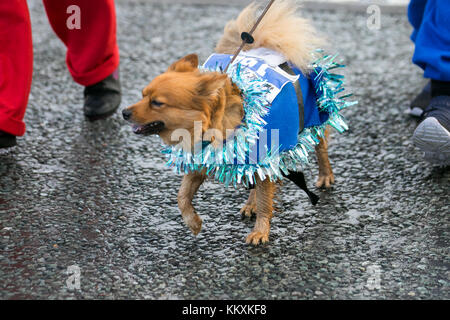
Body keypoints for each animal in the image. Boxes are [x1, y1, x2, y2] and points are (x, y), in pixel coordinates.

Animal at [122, 0, 334, 245]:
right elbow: (182, 195)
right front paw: (193, 222)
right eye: (142, 95)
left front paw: (260, 231)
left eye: (157, 103)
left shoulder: (263, 156)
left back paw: (325, 176)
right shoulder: (202, 158)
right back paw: (250, 204)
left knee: (321, 148)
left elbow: (265, 201)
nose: (124, 112)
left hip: (315, 118)